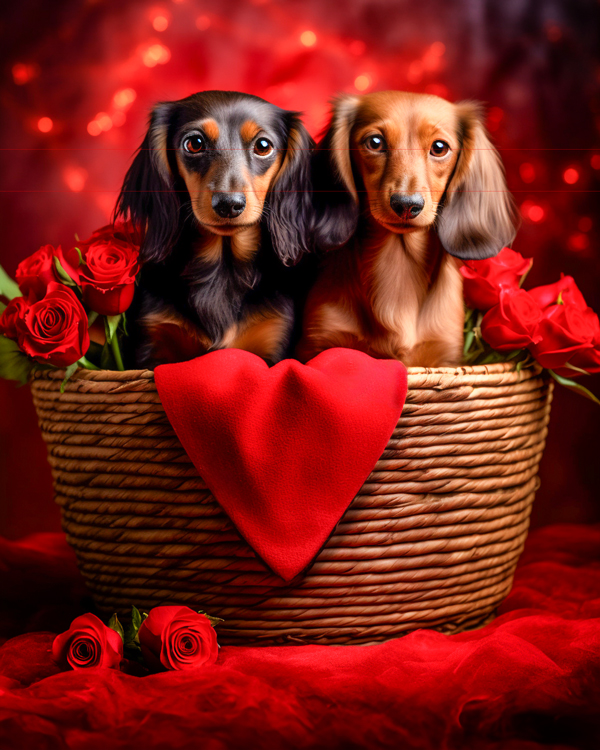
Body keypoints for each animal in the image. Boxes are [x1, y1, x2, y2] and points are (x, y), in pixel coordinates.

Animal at [116, 91, 314, 368]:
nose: (229, 204)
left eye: (263, 146)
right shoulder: (151, 347)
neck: (223, 269)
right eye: (195, 143)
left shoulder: (272, 345)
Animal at [298, 92, 516, 368]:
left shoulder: (445, 357)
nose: (406, 205)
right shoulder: (318, 344)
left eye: (439, 147)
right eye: (375, 142)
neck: (398, 264)